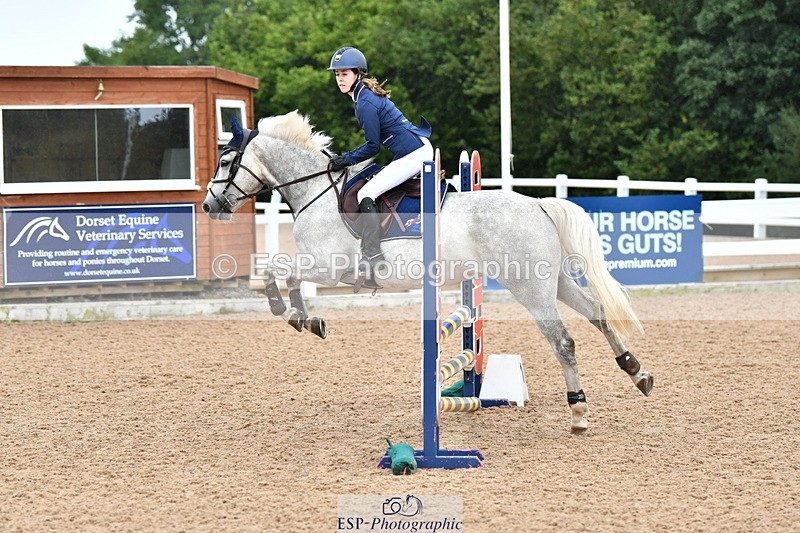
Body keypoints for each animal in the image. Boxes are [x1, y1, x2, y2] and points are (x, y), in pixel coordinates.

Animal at [202, 110, 653, 432]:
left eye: (226, 161)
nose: (208, 205)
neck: (317, 191)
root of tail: (539, 205)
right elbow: (281, 274)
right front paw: (308, 320)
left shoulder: (328, 268)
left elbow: (279, 272)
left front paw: (299, 318)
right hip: (554, 281)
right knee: (598, 314)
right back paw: (637, 372)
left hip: (530, 289)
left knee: (563, 341)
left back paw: (578, 413)